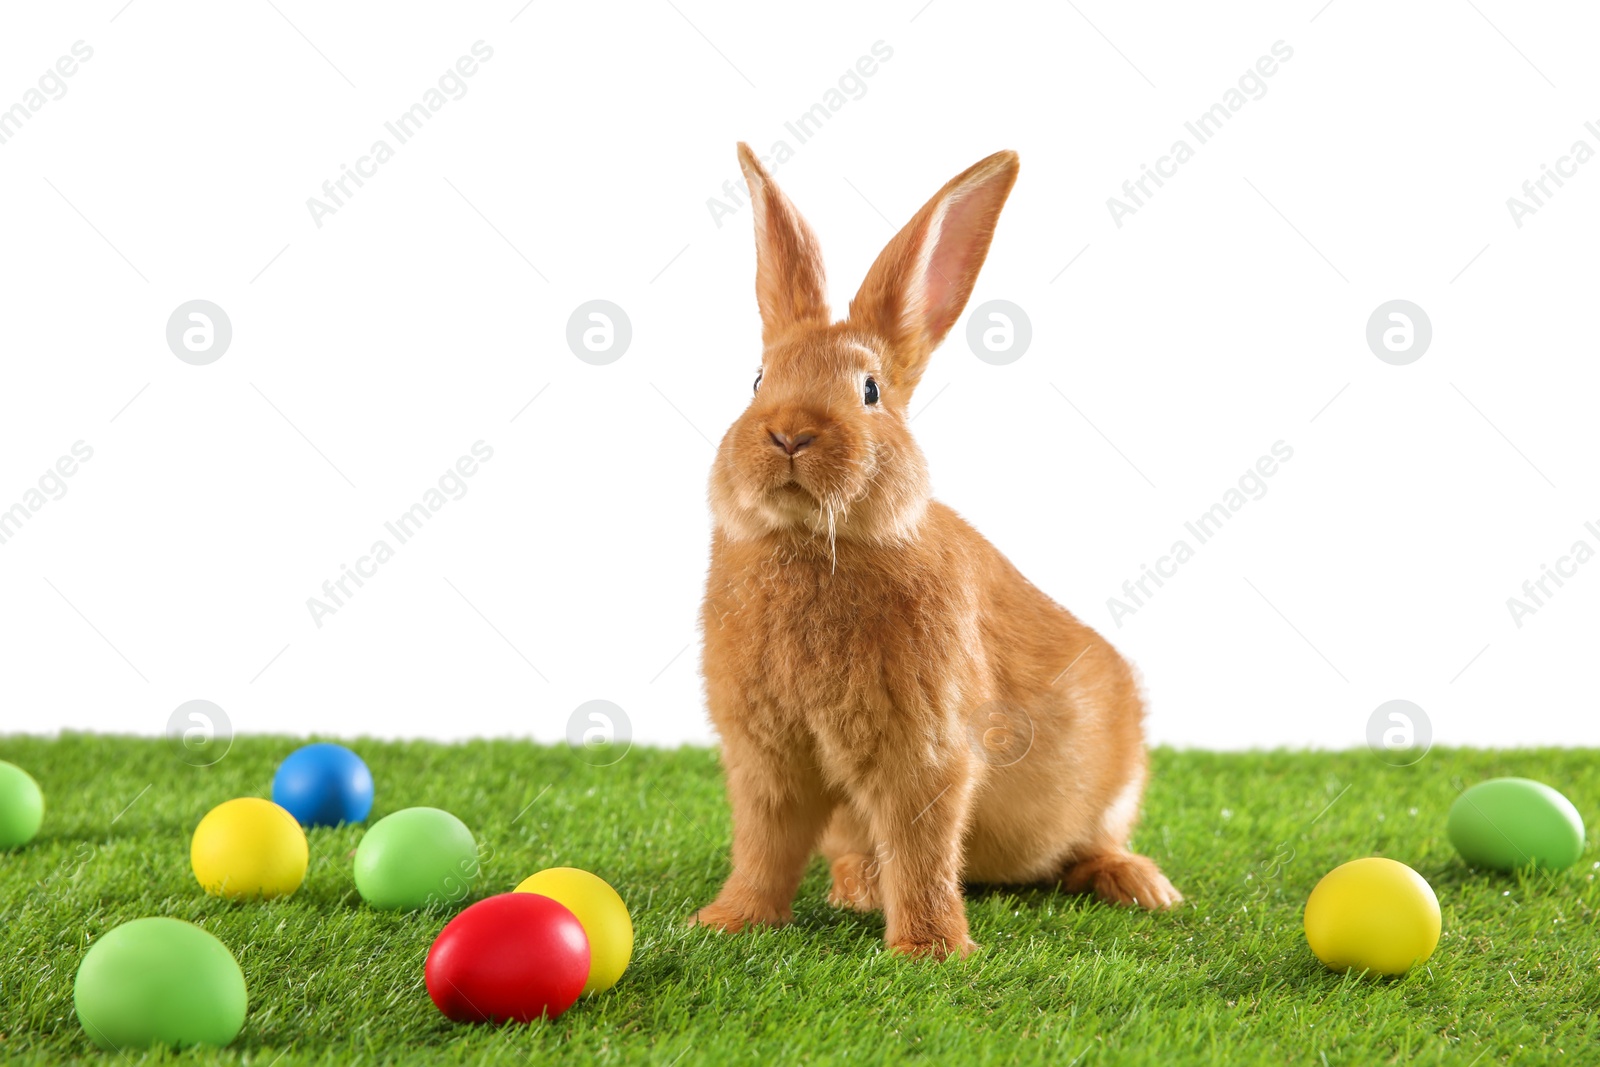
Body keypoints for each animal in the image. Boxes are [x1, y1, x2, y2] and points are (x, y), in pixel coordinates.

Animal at [694, 139, 1184, 959]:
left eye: (870, 391)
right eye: (757, 380)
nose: (789, 433)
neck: (813, 541)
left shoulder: (925, 750)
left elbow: (921, 848)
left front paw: (929, 952)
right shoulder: (767, 756)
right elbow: (764, 845)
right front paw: (730, 922)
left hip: (1118, 780)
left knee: (1093, 843)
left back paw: (1142, 885)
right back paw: (857, 888)